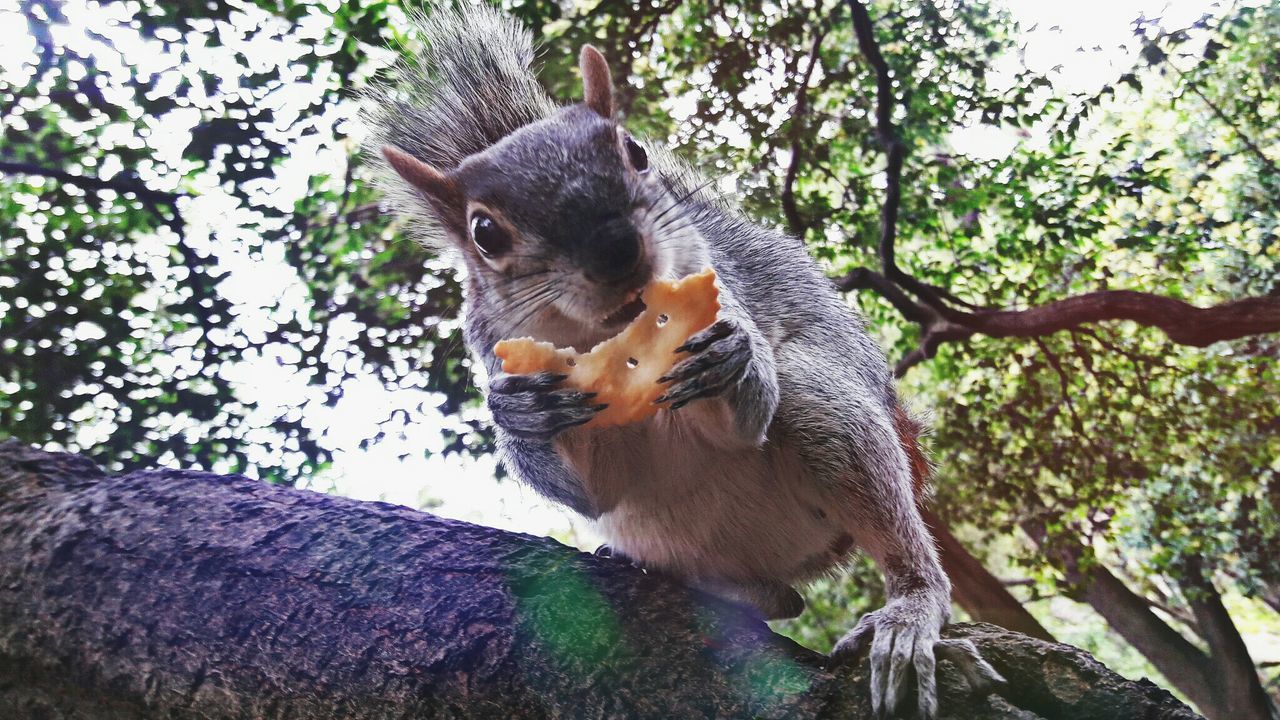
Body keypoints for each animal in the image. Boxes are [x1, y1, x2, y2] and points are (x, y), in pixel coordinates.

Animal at [360, 4, 998, 712]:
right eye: (484, 232)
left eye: (636, 153)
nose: (615, 250)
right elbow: (590, 487)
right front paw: (523, 414)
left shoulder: (718, 286)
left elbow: (744, 416)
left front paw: (731, 356)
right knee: (779, 597)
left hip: (830, 423)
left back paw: (910, 607)